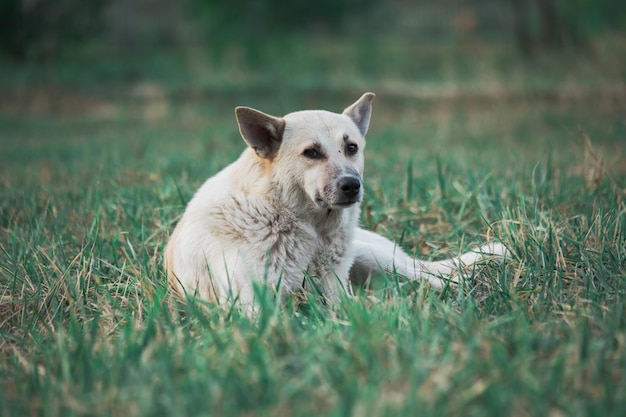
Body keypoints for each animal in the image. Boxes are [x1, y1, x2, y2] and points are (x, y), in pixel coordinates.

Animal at [163, 92, 504, 304]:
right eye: (312, 153)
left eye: (351, 147)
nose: (352, 185)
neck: (307, 229)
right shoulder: (253, 306)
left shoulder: (336, 292)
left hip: (377, 259)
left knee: (432, 278)